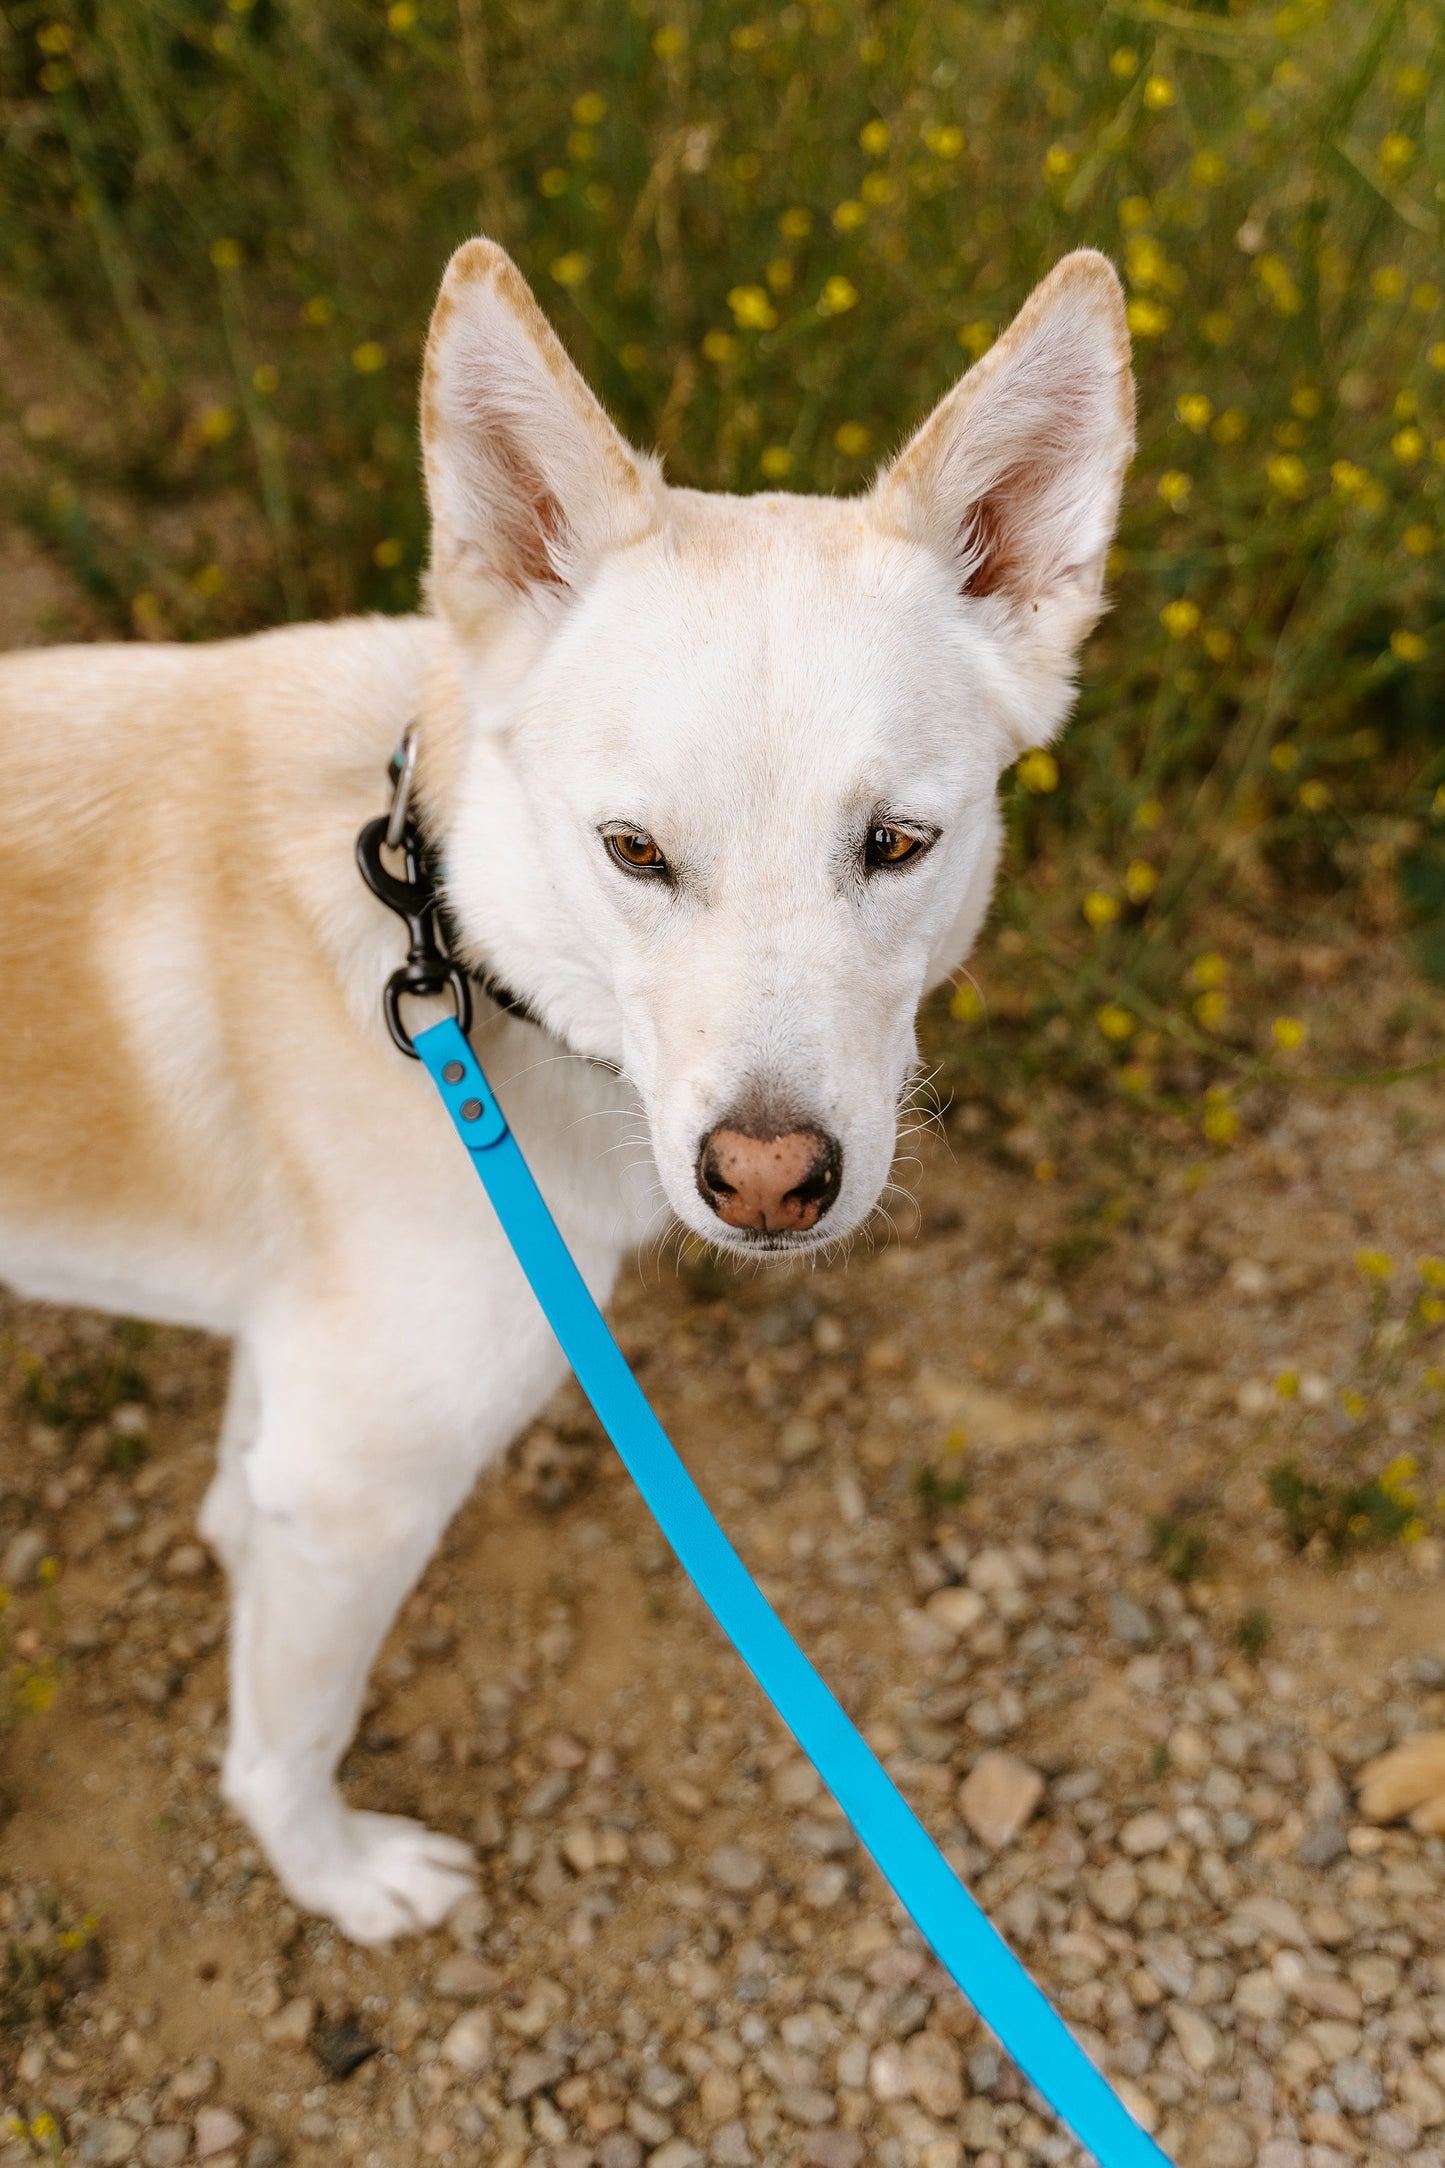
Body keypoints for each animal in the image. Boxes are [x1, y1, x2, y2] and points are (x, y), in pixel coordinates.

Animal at [2, 241, 1143, 1951]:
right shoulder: (358, 1494)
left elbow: (238, 1508)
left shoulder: (301, 1413)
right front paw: (339, 1878)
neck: (449, 942)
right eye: (632, 850)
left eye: (896, 843)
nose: (767, 1179)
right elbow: (287, 1739)